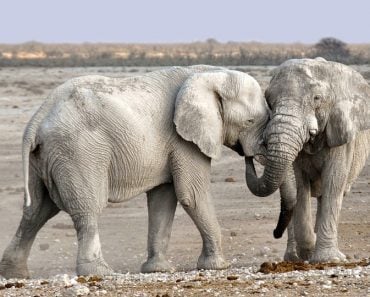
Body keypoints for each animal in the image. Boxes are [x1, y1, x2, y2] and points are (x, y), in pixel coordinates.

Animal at [0, 64, 268, 278]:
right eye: (250, 122)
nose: (249, 156)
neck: (210, 74)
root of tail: (38, 117)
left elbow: (163, 199)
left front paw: (158, 270)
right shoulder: (184, 140)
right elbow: (192, 195)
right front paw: (218, 266)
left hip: (44, 157)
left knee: (36, 211)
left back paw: (15, 274)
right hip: (78, 151)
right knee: (87, 208)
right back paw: (100, 272)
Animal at [246, 57, 370, 262]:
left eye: (317, 98)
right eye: (268, 100)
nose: (274, 233)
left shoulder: (340, 134)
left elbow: (334, 182)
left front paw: (327, 259)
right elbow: (300, 186)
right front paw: (308, 252)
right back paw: (294, 257)